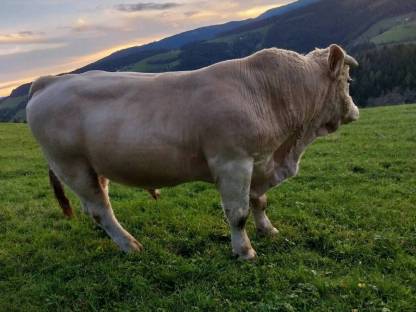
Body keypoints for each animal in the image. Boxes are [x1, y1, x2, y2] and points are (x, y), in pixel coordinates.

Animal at [26, 43, 358, 258]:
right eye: (348, 79)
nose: (355, 111)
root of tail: (49, 81)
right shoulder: (232, 162)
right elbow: (238, 213)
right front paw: (244, 251)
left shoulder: (259, 161)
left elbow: (260, 201)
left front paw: (268, 230)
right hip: (72, 166)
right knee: (100, 209)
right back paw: (130, 245)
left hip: (95, 167)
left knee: (99, 201)